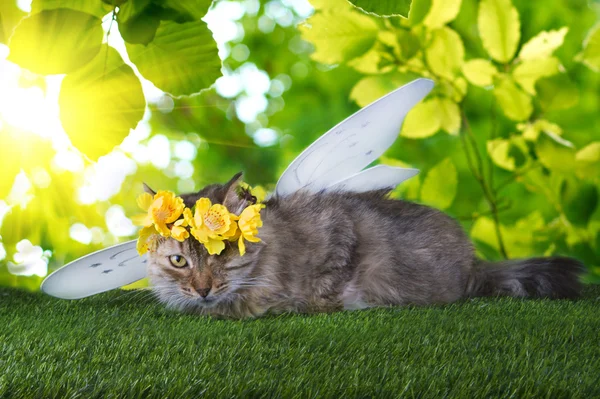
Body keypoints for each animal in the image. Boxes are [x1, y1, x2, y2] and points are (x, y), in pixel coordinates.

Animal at [146, 173, 584, 320]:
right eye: (179, 261)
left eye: (221, 254)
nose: (203, 289)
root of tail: (473, 262)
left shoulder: (339, 233)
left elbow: (323, 291)